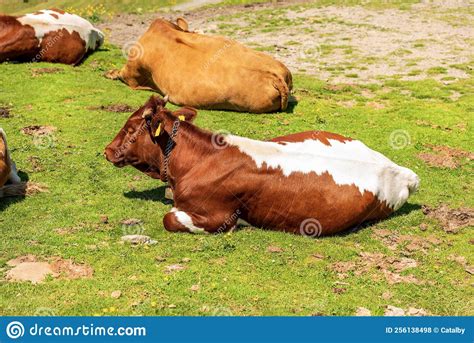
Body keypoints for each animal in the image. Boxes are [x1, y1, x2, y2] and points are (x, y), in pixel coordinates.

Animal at [104, 96, 418, 236]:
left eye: (131, 129)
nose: (107, 151)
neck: (197, 161)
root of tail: (400, 170)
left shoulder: (217, 216)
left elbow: (169, 218)